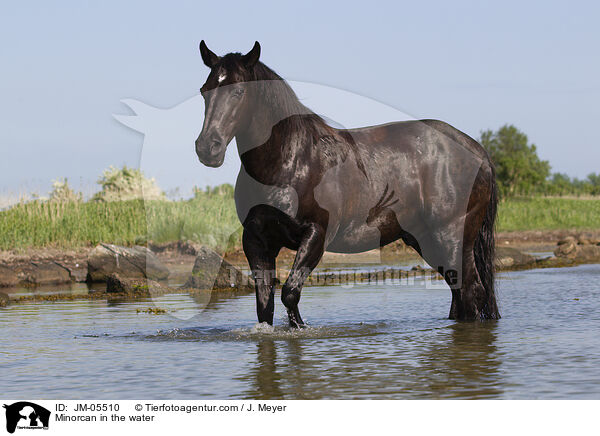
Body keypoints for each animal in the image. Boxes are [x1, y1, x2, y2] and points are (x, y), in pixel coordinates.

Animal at [195, 41, 500, 328]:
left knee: (472, 291)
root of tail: (477, 151)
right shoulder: (257, 241)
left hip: (452, 238)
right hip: (426, 241)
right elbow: (264, 306)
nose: (207, 148)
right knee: (459, 292)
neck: (289, 162)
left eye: (238, 92)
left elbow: (290, 294)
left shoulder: (316, 234)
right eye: (204, 91)